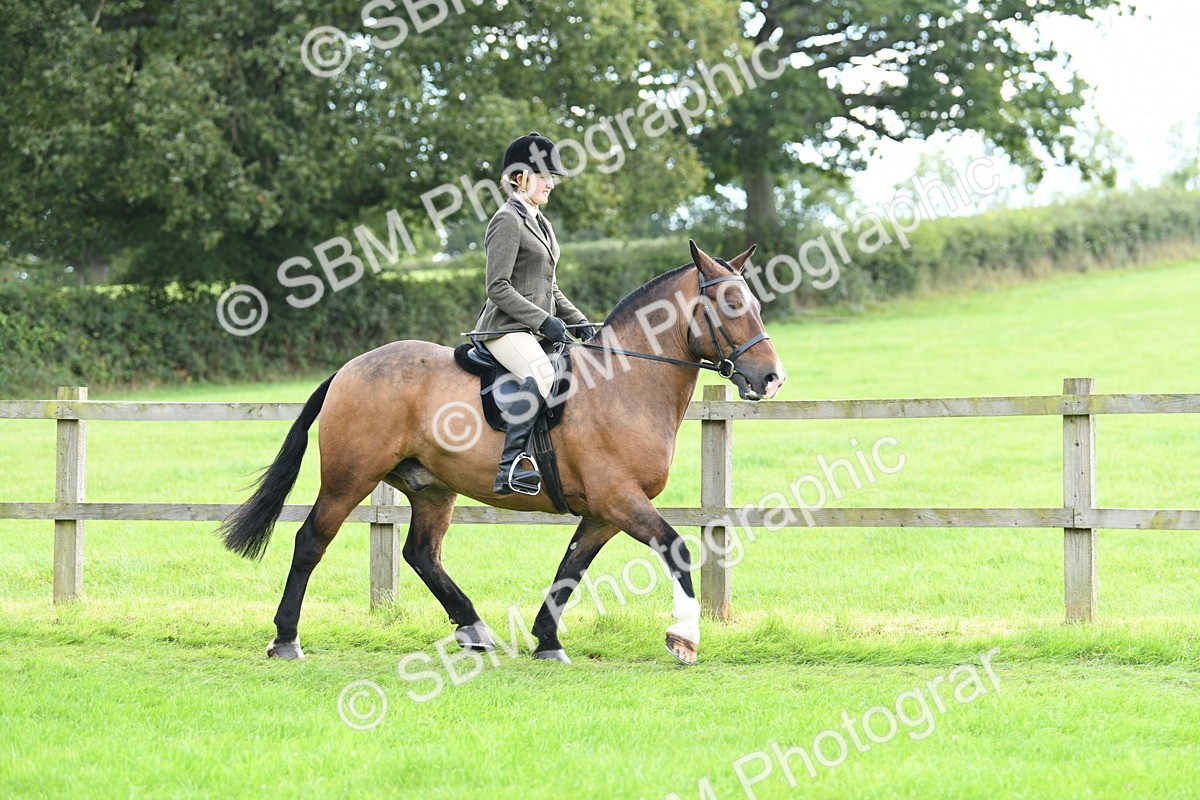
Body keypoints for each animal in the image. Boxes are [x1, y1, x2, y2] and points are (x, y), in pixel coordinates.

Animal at [217, 240, 786, 665]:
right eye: (732, 306)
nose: (771, 379)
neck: (626, 381)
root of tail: (350, 367)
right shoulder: (619, 498)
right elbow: (677, 549)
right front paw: (683, 638)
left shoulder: (605, 510)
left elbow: (570, 568)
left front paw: (548, 641)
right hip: (349, 477)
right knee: (312, 541)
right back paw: (286, 639)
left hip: (431, 487)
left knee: (421, 553)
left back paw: (475, 630)